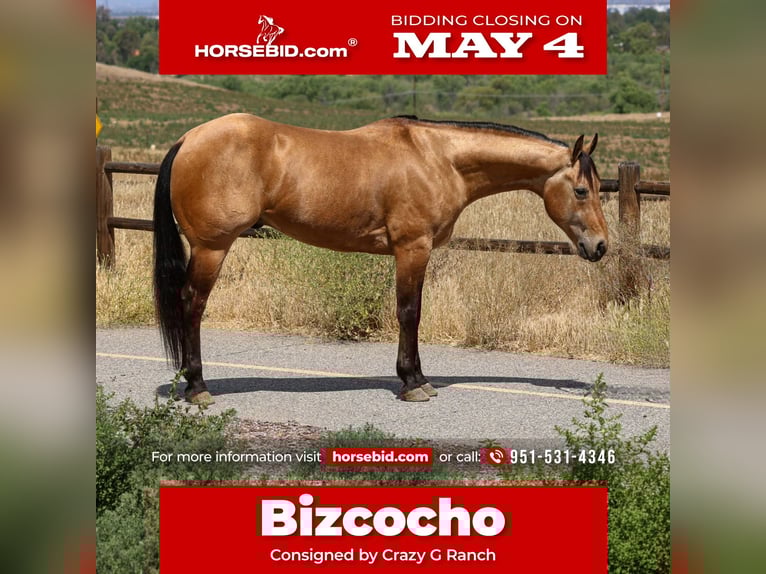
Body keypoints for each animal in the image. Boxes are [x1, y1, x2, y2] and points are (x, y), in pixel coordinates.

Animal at [153, 114, 607, 404]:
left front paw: (417, 378)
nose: (601, 246)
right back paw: (197, 388)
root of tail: (188, 140)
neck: (439, 158)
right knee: (192, 305)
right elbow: (410, 313)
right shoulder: (412, 248)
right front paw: (413, 383)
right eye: (582, 190)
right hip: (212, 248)